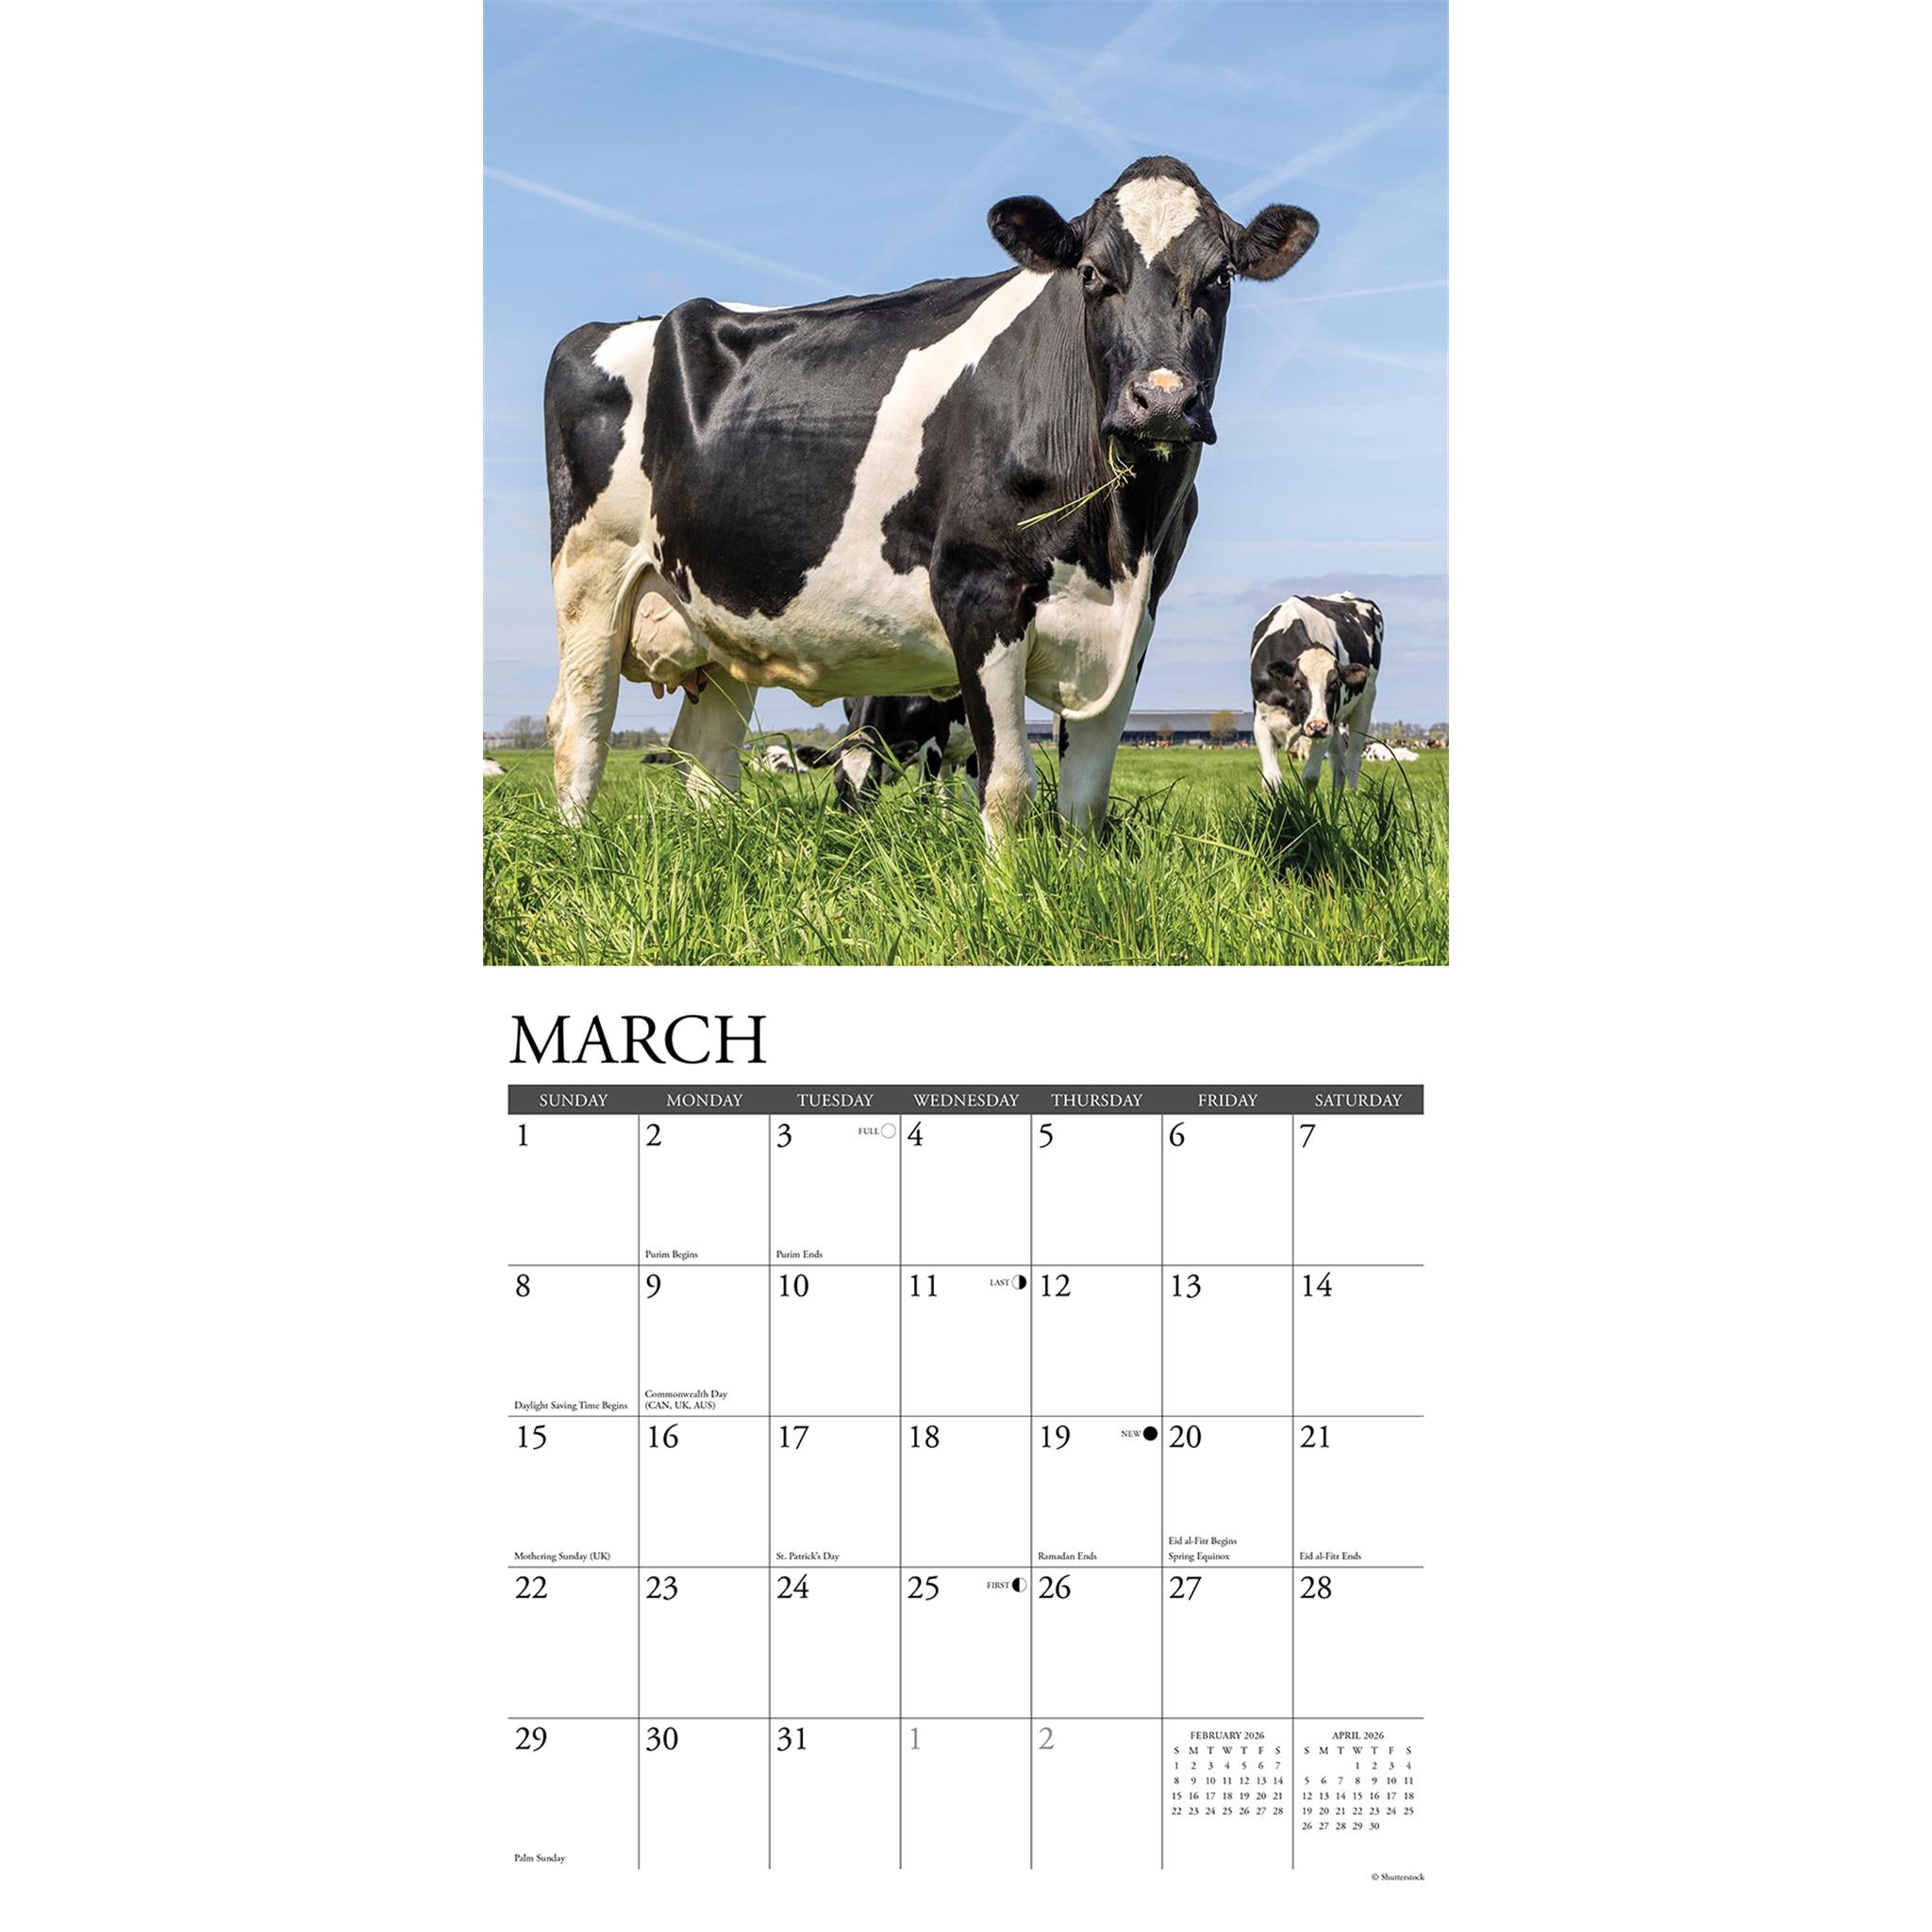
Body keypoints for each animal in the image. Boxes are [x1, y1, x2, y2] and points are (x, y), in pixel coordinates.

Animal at [832, 694, 974, 809]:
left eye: (873, 781)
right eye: (836, 784)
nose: (857, 820)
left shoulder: (933, 747)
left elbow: (923, 797)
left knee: (969, 795)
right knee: (947, 793)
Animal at [1250, 594, 1383, 792]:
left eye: (1335, 683)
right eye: (1298, 682)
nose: (1317, 726)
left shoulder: (1326, 725)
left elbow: (1310, 777)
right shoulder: (1261, 722)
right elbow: (1271, 780)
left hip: (1364, 705)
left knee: (1353, 758)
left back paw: (1353, 795)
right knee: (1339, 763)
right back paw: (1337, 797)